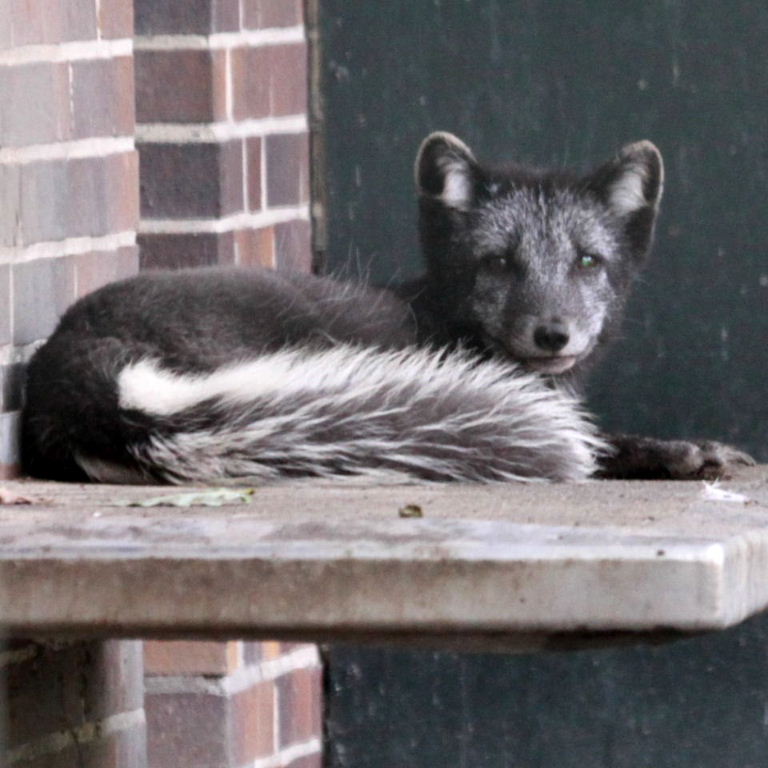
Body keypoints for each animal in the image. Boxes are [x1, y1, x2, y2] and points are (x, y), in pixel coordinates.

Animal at [21, 132, 752, 484]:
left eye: (588, 262)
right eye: (498, 263)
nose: (553, 334)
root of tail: (75, 361)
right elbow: (602, 441)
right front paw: (685, 453)